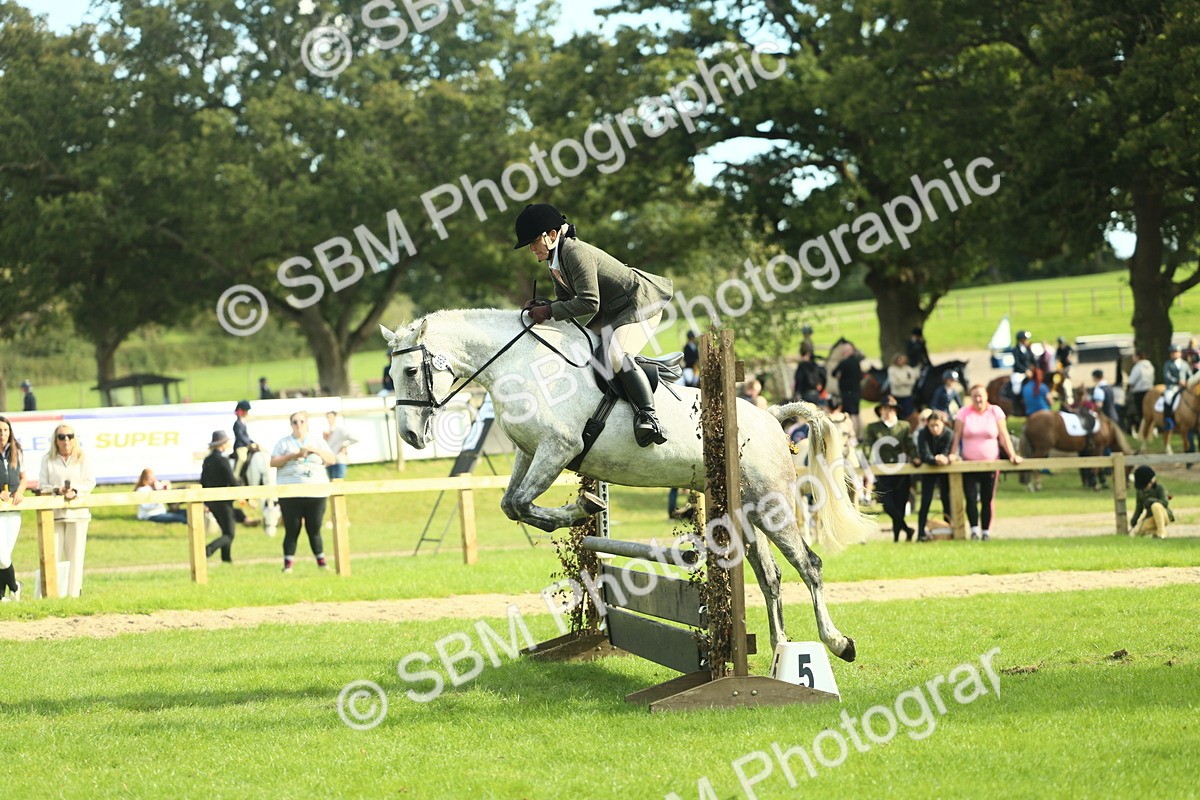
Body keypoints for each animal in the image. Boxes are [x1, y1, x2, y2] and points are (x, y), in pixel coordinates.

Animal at [381, 310, 878, 662]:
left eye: (409, 372)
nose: (410, 436)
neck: (521, 367)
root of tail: (772, 416)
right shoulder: (529, 452)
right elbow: (511, 504)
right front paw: (584, 506)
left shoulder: (557, 448)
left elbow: (522, 503)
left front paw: (583, 506)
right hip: (744, 511)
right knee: (769, 575)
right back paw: (781, 650)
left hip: (772, 505)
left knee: (809, 565)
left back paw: (838, 643)